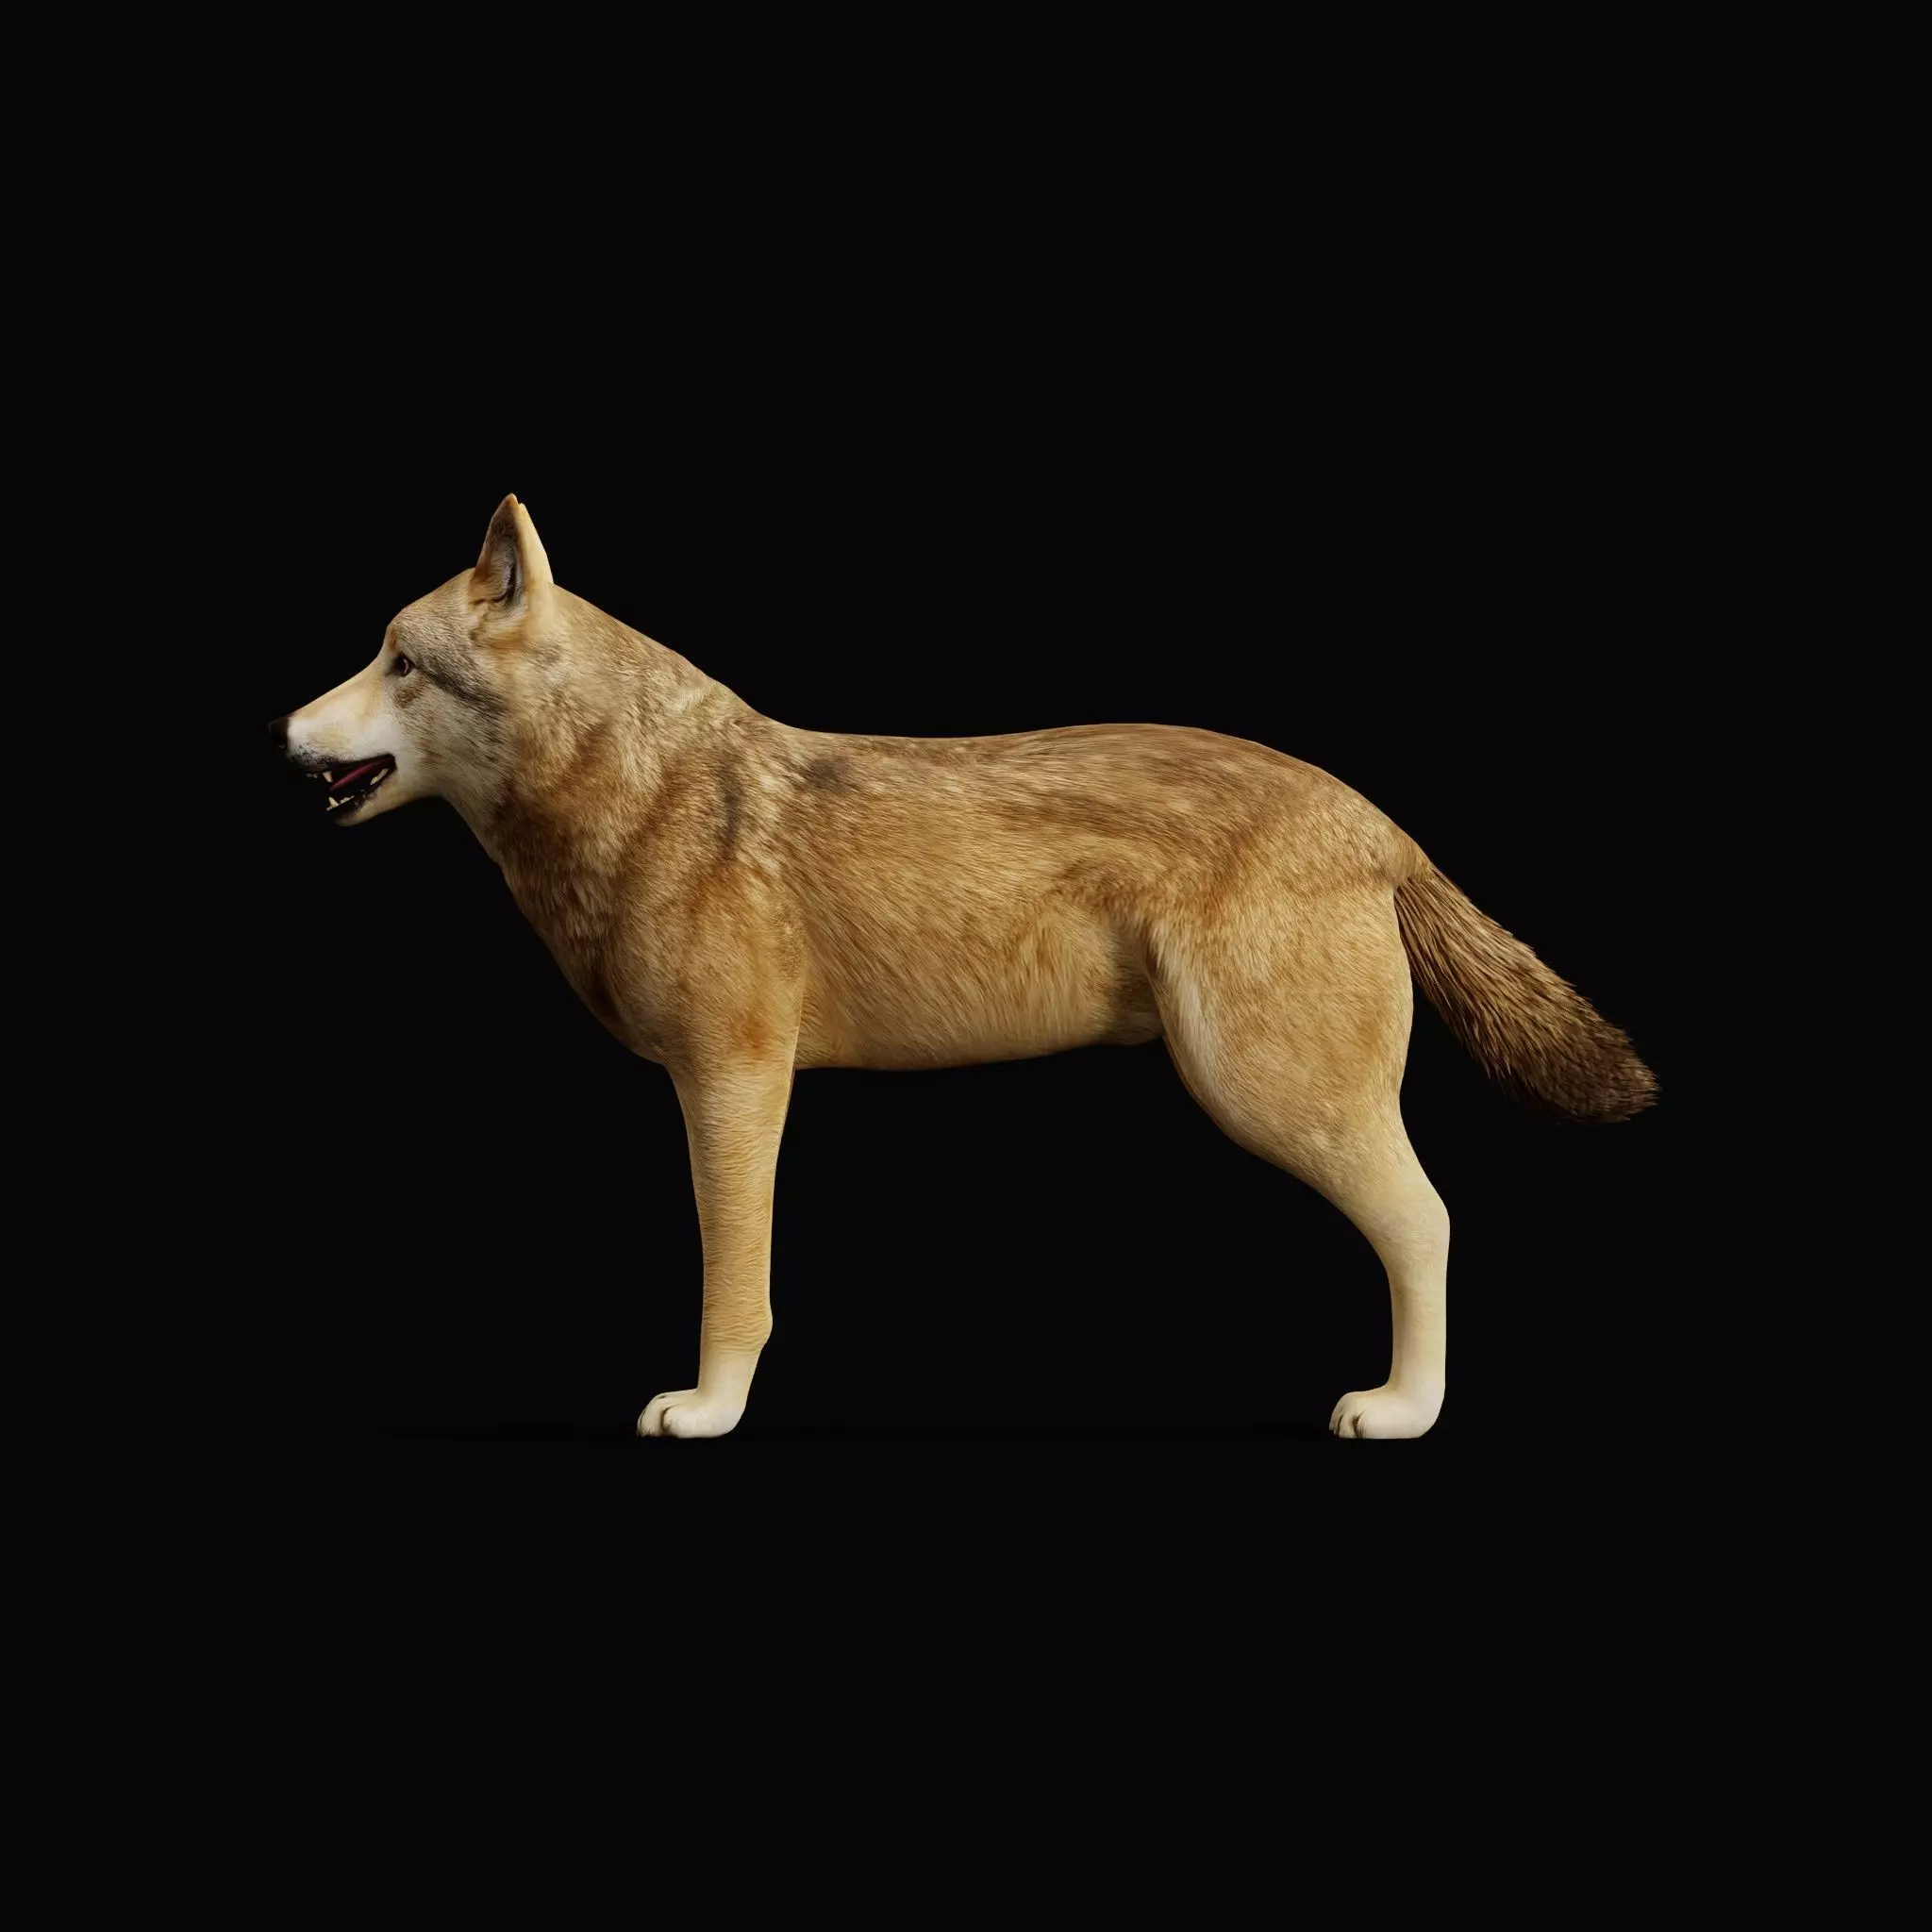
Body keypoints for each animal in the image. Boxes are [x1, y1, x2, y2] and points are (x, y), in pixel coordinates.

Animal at [270, 496, 1655, 1440]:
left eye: (400, 661)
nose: (282, 729)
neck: (637, 794)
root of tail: (1377, 820)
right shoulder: (732, 1088)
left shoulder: (735, 1085)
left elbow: (734, 1283)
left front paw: (709, 1410)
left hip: (1271, 1099)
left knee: (1427, 1221)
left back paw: (1403, 1409)